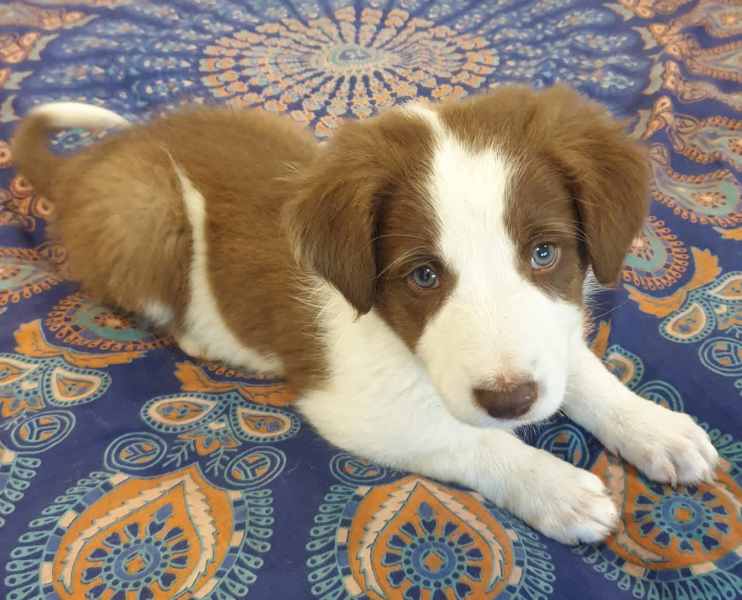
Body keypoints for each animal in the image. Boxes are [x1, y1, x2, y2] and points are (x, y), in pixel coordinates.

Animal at [13, 86, 720, 548]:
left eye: (544, 253)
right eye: (423, 276)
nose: (511, 400)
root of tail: (91, 162)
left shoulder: (552, 332)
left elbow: (585, 373)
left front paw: (657, 429)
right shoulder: (352, 406)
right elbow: (471, 439)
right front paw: (555, 488)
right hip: (145, 208)